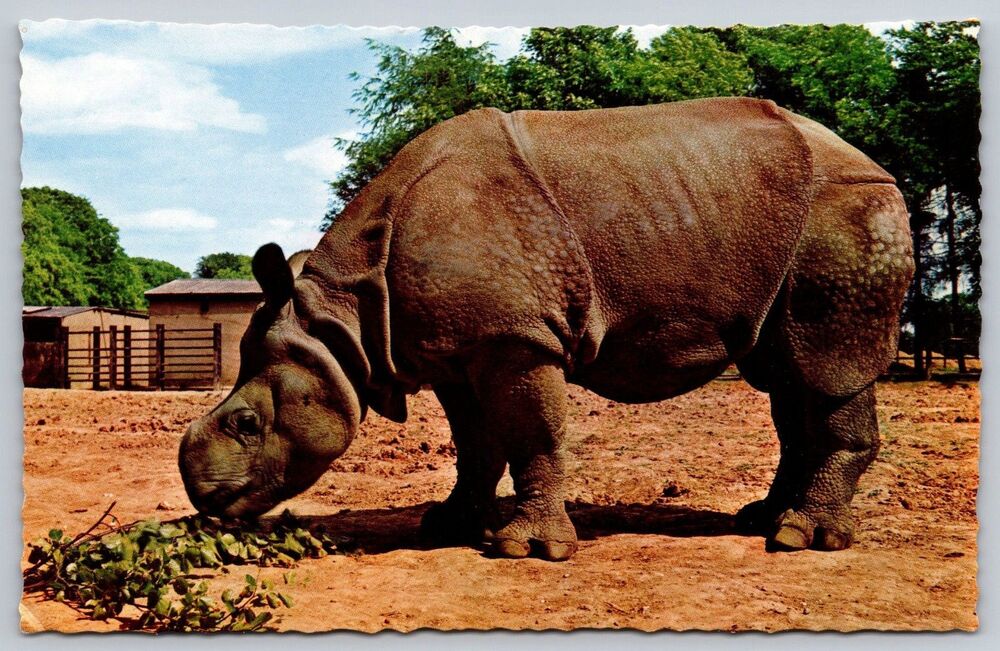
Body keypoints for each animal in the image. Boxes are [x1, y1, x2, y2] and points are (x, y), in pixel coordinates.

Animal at [180, 97, 914, 561]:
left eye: (246, 424)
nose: (202, 499)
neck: (345, 313)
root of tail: (877, 166)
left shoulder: (516, 339)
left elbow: (531, 434)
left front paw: (526, 548)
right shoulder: (456, 350)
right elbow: (475, 444)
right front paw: (446, 525)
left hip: (846, 212)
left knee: (825, 366)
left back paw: (801, 538)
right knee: (786, 373)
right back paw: (763, 520)